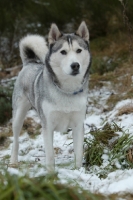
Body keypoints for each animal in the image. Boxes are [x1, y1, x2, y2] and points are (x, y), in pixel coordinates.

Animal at [10, 21, 91, 171]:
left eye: (78, 50)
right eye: (63, 52)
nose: (75, 65)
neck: (67, 91)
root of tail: (30, 62)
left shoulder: (78, 124)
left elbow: (78, 152)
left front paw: (78, 171)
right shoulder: (48, 126)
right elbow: (50, 155)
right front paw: (51, 173)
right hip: (18, 116)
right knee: (16, 140)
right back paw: (13, 162)